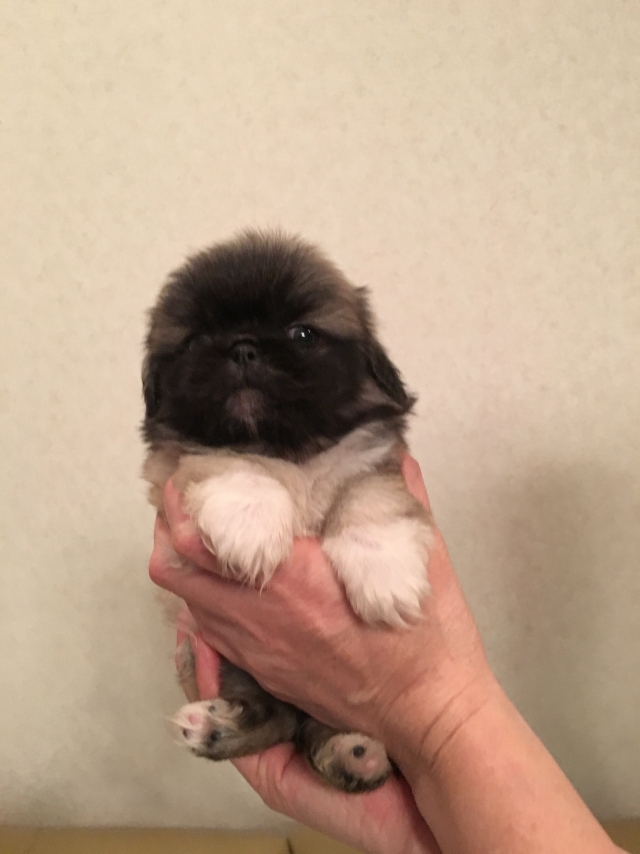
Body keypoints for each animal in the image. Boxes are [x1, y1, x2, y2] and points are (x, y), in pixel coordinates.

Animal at [142, 231, 432, 792]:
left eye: (303, 333)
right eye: (194, 341)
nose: (242, 347)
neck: (288, 451)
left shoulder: (373, 461)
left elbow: (369, 502)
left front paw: (385, 572)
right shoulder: (185, 460)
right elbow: (229, 460)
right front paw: (250, 522)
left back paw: (353, 752)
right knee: (278, 719)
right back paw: (220, 728)